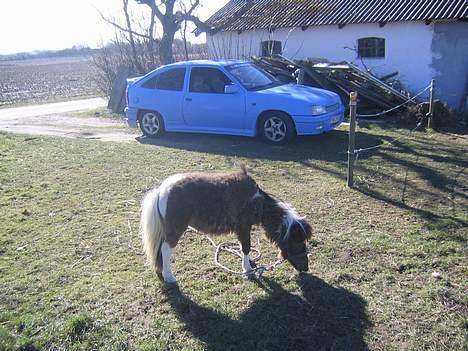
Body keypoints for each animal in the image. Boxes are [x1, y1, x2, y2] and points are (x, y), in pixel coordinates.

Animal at [141, 168, 312, 284]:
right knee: (165, 249)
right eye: (298, 241)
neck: (255, 201)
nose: (305, 268)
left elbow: (243, 248)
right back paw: (169, 276)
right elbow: (246, 247)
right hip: (175, 230)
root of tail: (161, 190)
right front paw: (248, 270)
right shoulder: (243, 228)